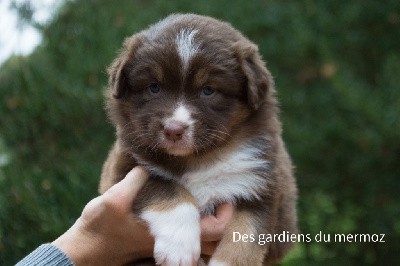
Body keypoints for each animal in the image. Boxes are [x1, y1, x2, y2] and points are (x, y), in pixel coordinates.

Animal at [99, 13, 296, 264]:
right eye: (154, 87)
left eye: (208, 90)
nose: (173, 129)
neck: (199, 158)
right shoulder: (127, 166)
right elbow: (166, 186)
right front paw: (178, 248)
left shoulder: (264, 185)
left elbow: (246, 235)